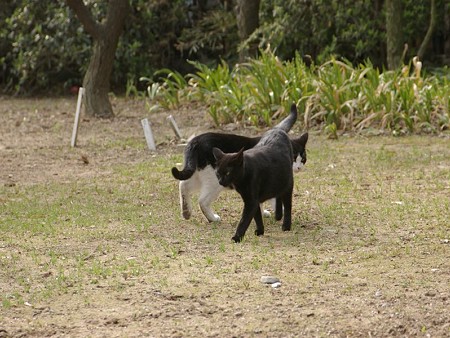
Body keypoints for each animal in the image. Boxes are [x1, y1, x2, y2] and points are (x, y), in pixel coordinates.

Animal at [172, 104, 302, 223]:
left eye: (303, 158)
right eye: (294, 157)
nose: (299, 167)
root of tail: (194, 142)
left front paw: (262, 212)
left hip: (199, 173)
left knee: (183, 185)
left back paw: (186, 212)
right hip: (214, 180)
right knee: (202, 200)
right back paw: (212, 218)